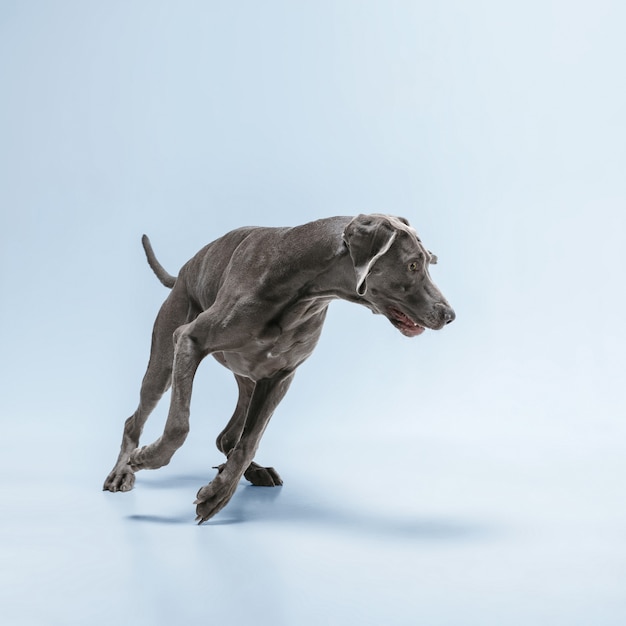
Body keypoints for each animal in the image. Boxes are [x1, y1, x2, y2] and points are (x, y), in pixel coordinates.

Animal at [102, 214, 454, 520]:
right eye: (412, 264)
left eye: (429, 261)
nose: (449, 315)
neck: (302, 287)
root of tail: (184, 272)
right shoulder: (189, 340)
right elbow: (178, 427)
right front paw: (145, 458)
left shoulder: (279, 376)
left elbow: (248, 442)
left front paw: (217, 495)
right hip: (164, 359)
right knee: (135, 419)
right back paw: (122, 471)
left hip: (249, 379)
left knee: (228, 438)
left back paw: (252, 471)